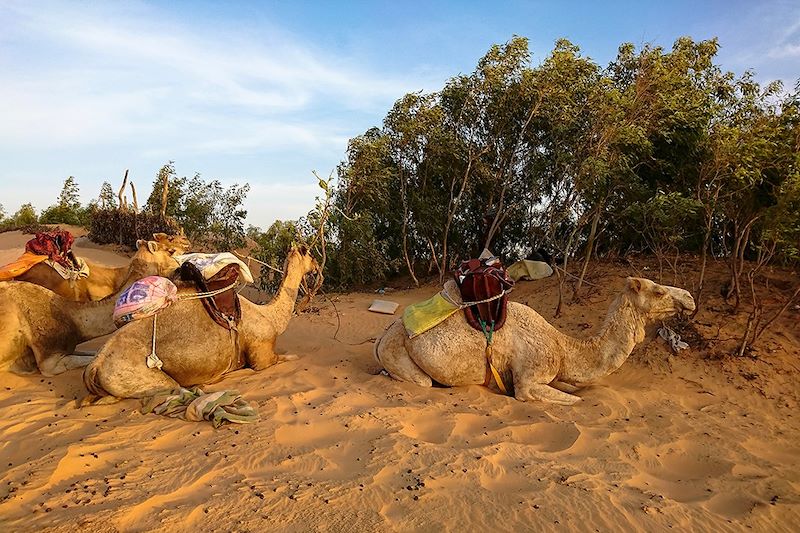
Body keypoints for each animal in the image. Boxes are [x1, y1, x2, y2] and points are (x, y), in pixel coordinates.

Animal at [80, 245, 318, 404]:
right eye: (310, 254)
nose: (316, 267)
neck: (269, 316)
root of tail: (96, 365)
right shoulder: (262, 355)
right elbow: (285, 358)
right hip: (143, 379)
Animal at [376, 278, 692, 404]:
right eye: (658, 291)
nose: (689, 298)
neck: (563, 347)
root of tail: (382, 335)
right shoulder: (529, 381)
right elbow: (575, 399)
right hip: (397, 351)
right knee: (421, 381)